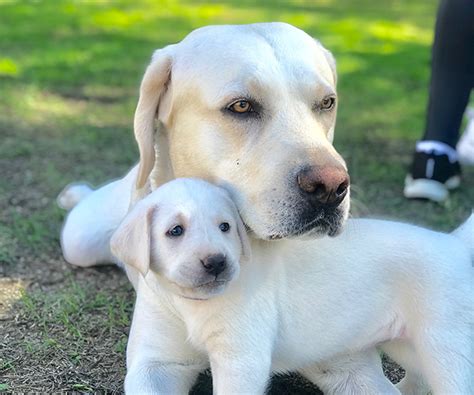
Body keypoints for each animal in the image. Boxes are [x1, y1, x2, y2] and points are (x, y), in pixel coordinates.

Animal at [85, 179, 470, 395]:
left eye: (225, 227)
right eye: (175, 231)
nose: (217, 262)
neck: (192, 305)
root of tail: (454, 243)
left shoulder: (241, 358)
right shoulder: (157, 362)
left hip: (447, 349)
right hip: (407, 344)